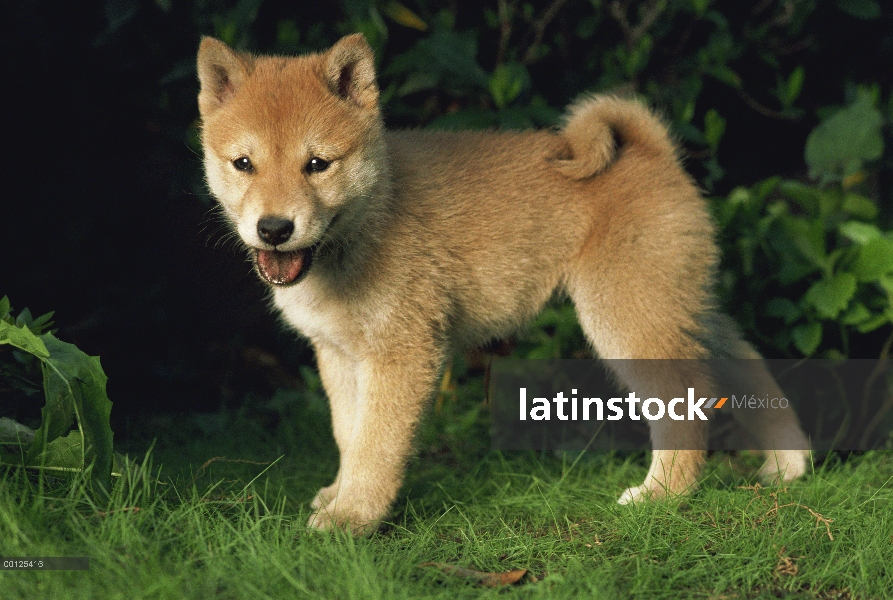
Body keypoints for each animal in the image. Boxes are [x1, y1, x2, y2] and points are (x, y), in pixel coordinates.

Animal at [195, 34, 808, 536]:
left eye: (317, 164)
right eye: (243, 163)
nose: (275, 229)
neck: (371, 218)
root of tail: (653, 151)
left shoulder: (403, 352)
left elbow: (377, 444)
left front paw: (354, 519)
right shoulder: (340, 354)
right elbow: (351, 436)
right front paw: (339, 497)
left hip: (627, 318)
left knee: (687, 400)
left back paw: (662, 496)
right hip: (681, 306)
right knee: (745, 361)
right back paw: (789, 463)